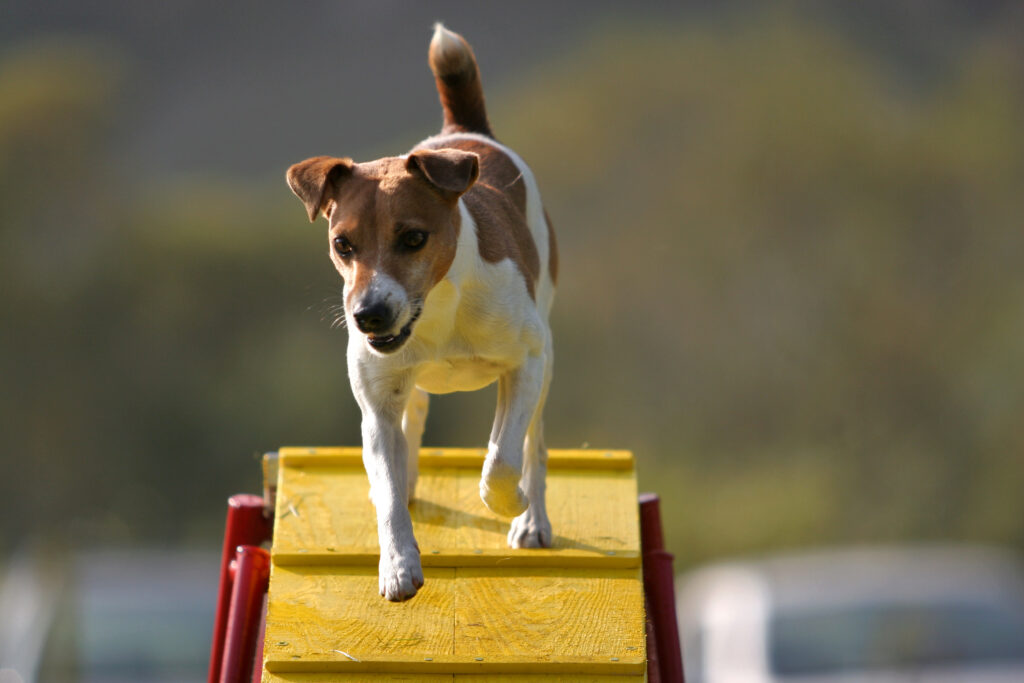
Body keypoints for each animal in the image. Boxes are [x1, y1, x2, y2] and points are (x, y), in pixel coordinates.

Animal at [288, 24, 557, 602]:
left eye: (413, 238)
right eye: (342, 244)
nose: (368, 315)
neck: (437, 315)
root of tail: (463, 133)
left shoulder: (526, 363)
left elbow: (501, 460)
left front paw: (512, 503)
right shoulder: (376, 405)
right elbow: (387, 489)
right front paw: (397, 564)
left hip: (546, 353)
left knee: (534, 443)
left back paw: (533, 520)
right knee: (410, 422)